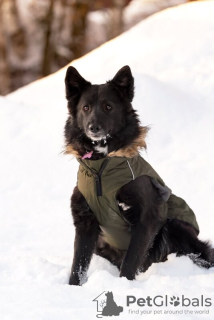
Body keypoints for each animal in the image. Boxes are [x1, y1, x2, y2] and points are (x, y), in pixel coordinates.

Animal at [64, 65, 214, 284]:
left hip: (174, 225)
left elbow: (130, 262)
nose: (93, 127)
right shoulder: (85, 222)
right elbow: (78, 266)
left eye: (108, 107)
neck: (102, 169)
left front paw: (123, 285)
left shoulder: (146, 219)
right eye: (86, 108)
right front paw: (73, 288)